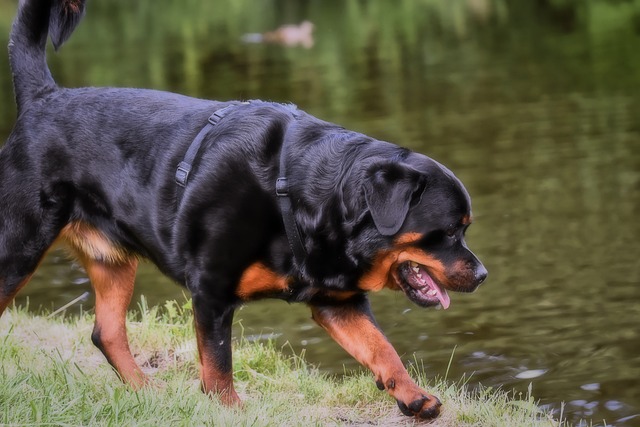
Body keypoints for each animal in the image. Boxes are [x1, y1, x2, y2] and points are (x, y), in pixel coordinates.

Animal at [0, 0, 488, 422]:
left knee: (107, 332)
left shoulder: (338, 300)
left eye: (464, 230)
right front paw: (229, 410)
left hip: (112, 259)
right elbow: (218, 364)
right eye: (449, 231)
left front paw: (413, 396)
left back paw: (145, 391)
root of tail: (44, 96)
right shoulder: (212, 290)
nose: (483, 274)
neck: (301, 195)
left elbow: (381, 347)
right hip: (18, 245)